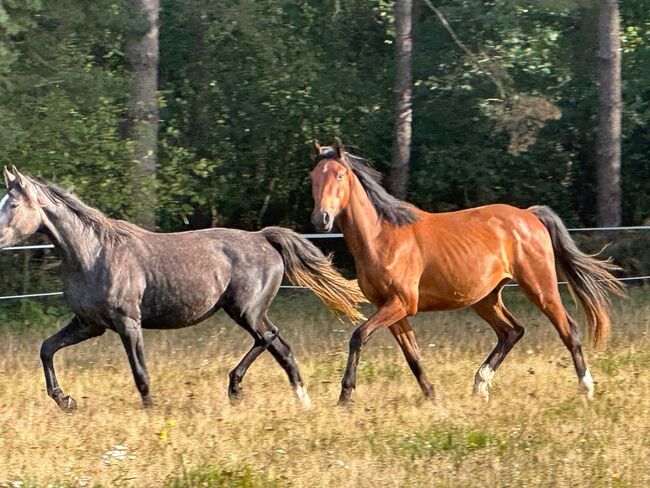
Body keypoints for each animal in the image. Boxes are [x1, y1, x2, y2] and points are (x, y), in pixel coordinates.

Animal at [0, 167, 364, 412]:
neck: (94, 253)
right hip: (249, 312)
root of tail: (263, 237)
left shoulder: (128, 323)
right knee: (281, 347)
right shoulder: (89, 324)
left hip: (245, 310)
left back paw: (239, 388)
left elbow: (141, 373)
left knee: (269, 338)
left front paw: (150, 411)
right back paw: (297, 400)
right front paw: (65, 400)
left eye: (13, 205)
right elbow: (47, 348)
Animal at [308, 137, 624, 404]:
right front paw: (433, 397)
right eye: (313, 176)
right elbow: (412, 355)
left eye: (339, 175)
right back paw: (480, 386)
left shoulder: (402, 303)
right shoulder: (391, 308)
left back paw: (586, 389)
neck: (381, 237)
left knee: (567, 329)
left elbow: (358, 336)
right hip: (485, 298)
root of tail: (529, 215)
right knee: (512, 331)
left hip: (540, 287)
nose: (320, 218)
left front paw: (345, 397)